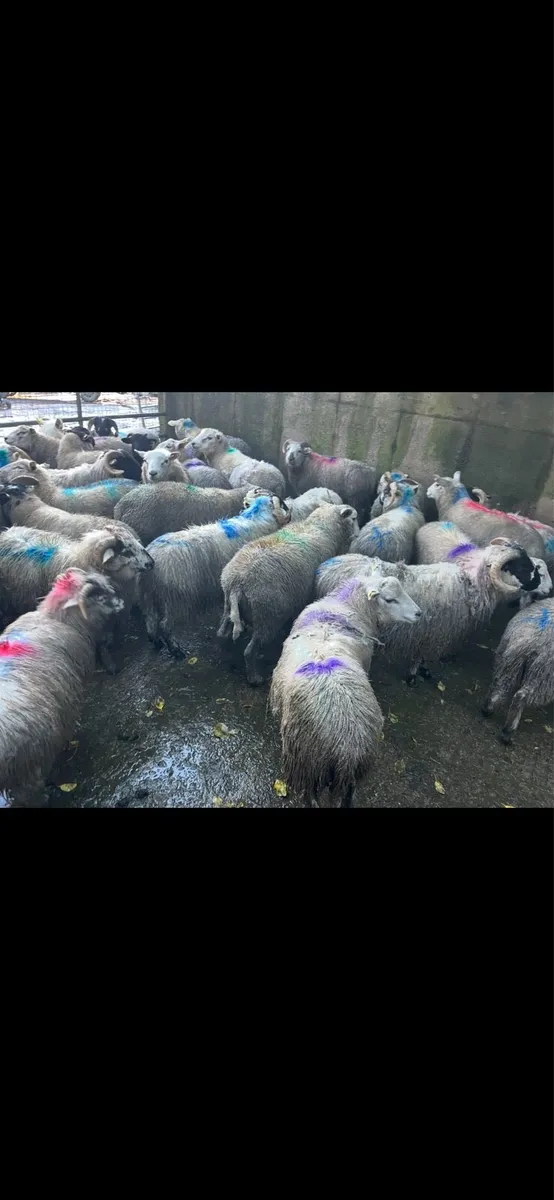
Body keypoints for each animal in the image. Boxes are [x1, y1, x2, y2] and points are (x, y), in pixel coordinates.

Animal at [141, 491, 291, 655]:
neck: (257, 516)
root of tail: (153, 557)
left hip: (149, 595)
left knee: (150, 620)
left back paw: (156, 642)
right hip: (176, 599)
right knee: (165, 625)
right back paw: (175, 649)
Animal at [218, 504, 360, 685]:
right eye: (354, 518)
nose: (357, 534)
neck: (321, 528)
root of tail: (238, 583)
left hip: (228, 604)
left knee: (222, 633)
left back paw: (228, 658)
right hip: (267, 615)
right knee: (250, 651)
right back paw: (254, 678)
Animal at [270, 574, 422, 808]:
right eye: (389, 599)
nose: (419, 613)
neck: (342, 607)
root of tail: (346, 745)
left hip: (316, 764)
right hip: (327, 765)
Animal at [314, 539, 539, 684]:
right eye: (520, 567)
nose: (537, 582)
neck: (471, 586)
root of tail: (326, 566)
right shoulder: (434, 632)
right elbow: (421, 656)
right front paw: (416, 674)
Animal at [482, 600, 554, 743]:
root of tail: (528, 640)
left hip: (508, 659)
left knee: (498, 683)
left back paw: (488, 708)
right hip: (543, 674)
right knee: (521, 696)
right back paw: (508, 731)